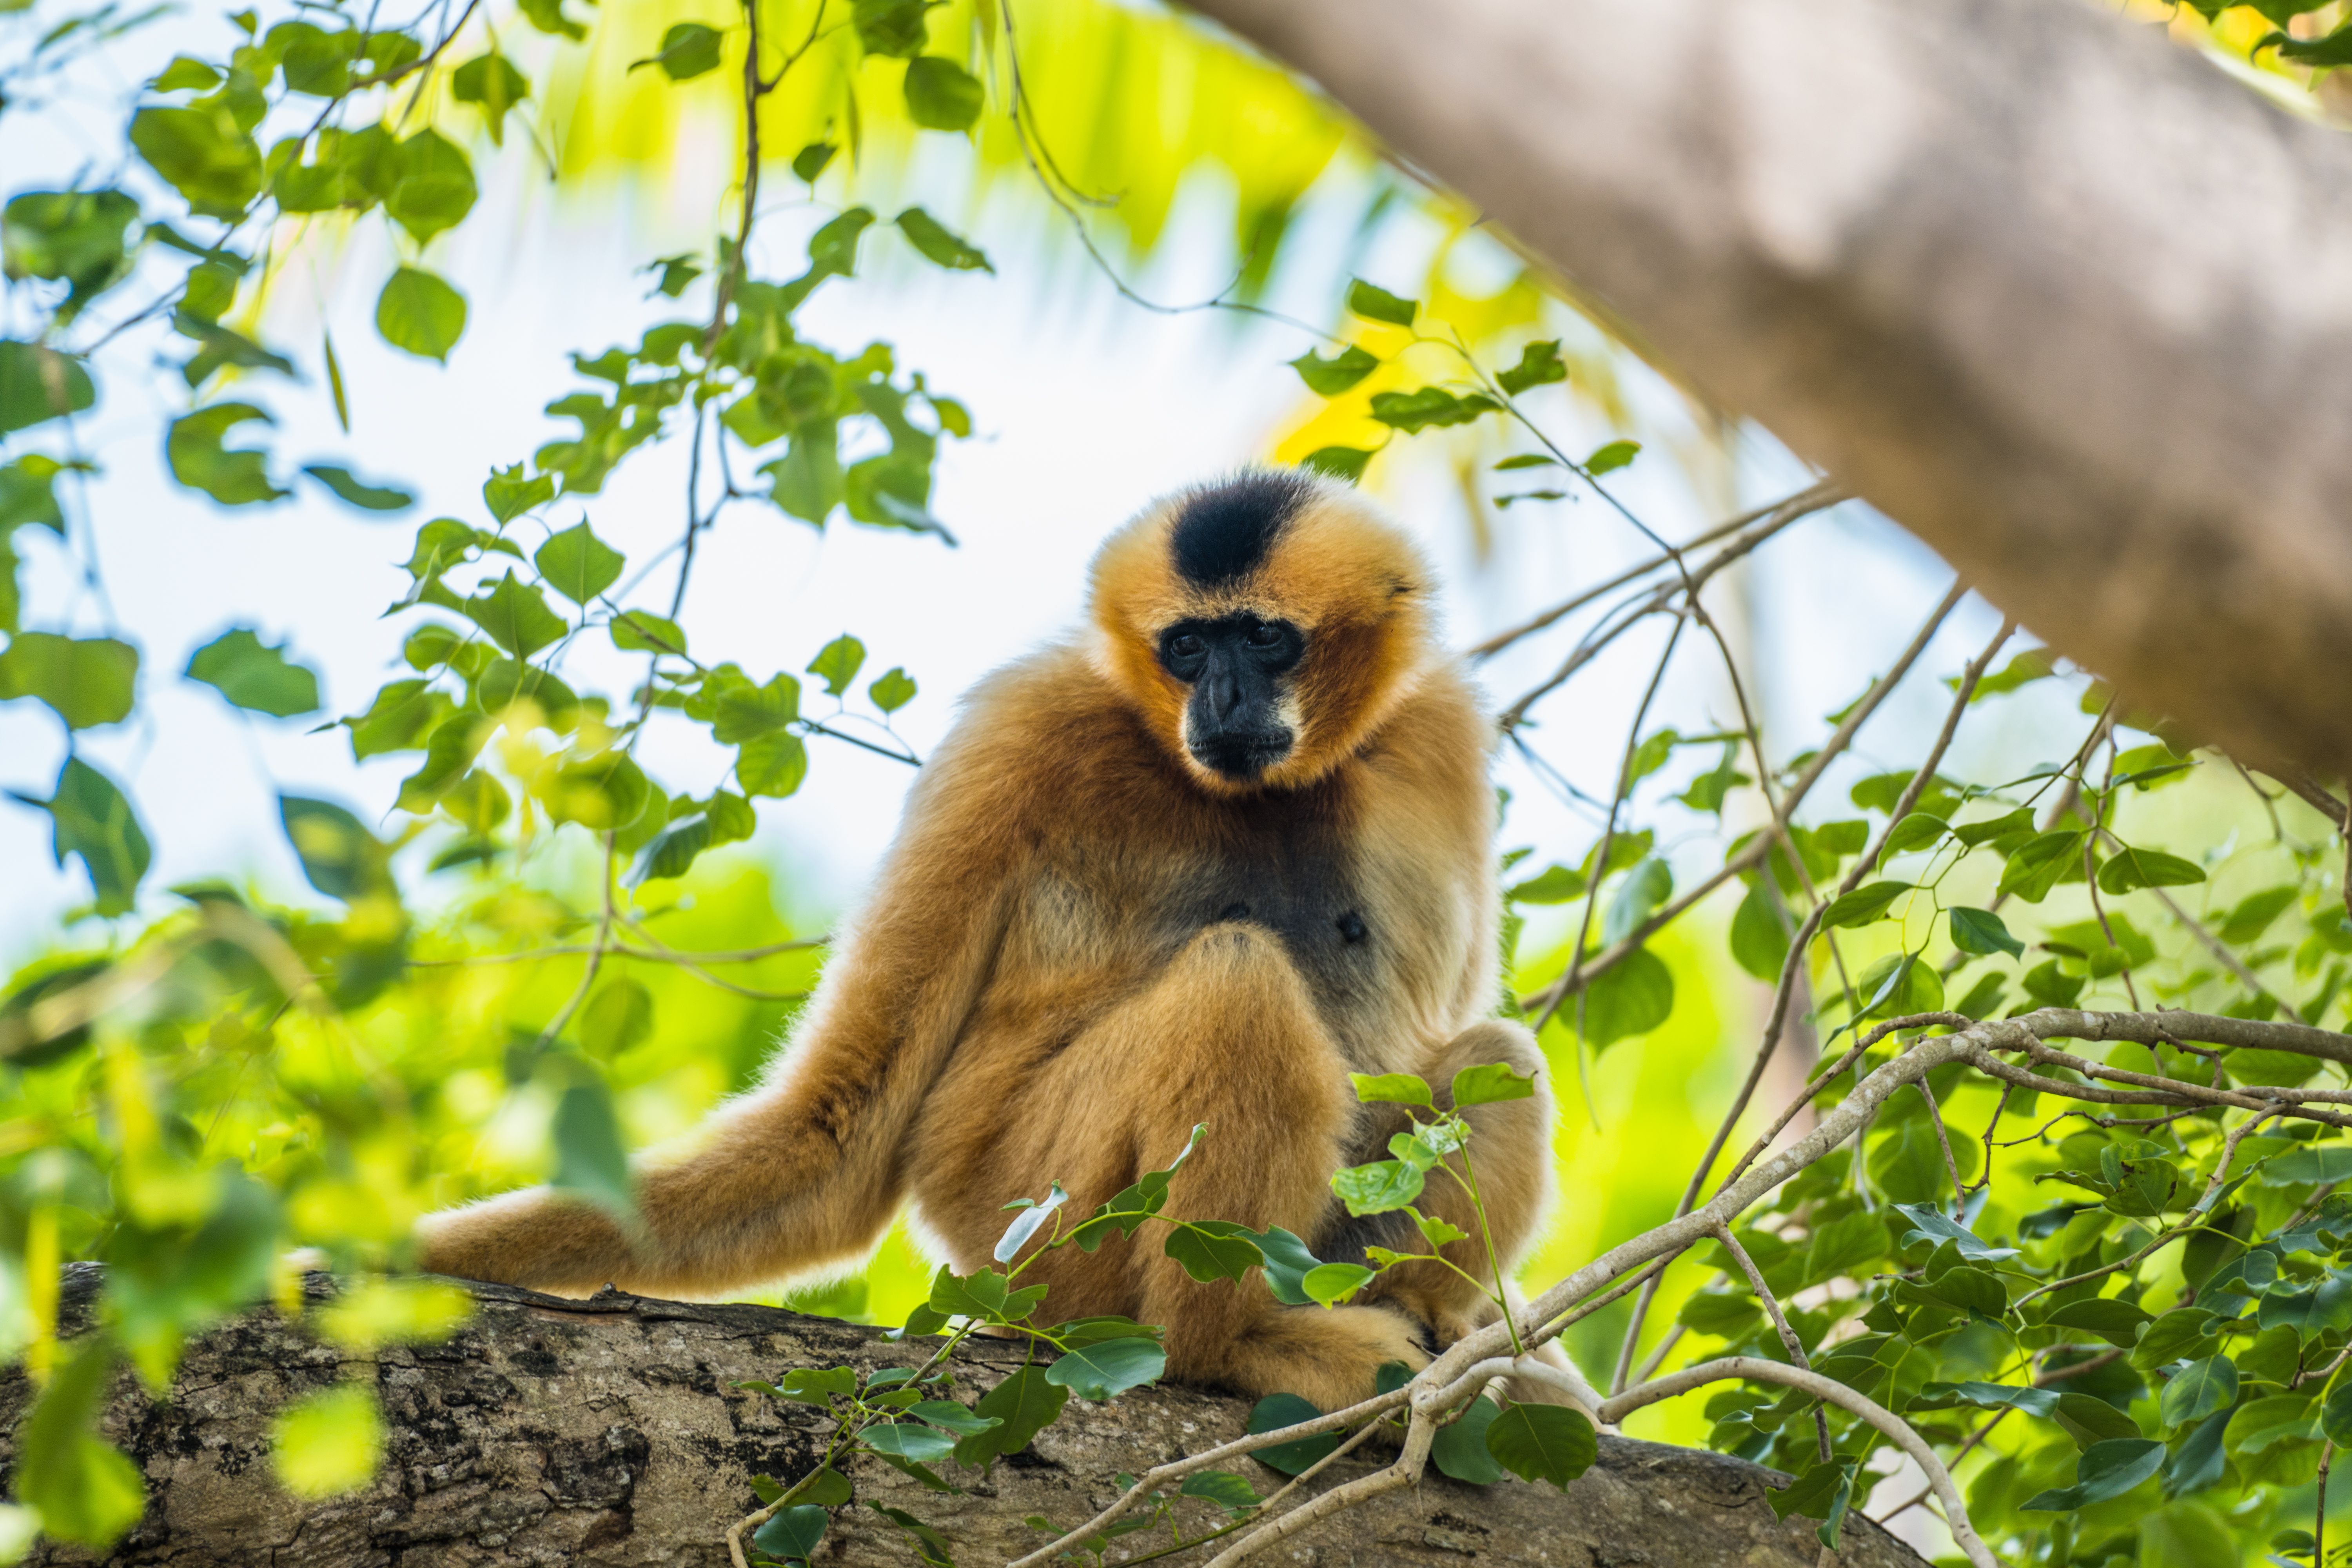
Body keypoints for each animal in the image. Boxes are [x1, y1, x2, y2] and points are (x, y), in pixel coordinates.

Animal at [417, 469, 1597, 1415]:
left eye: (1264, 637)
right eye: (1185, 647)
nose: (1219, 693)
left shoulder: (1440, 734)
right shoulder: (1020, 728)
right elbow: (837, 1130)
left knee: (1493, 1055)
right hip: (1032, 1231)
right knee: (1238, 982)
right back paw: (1233, 1346)